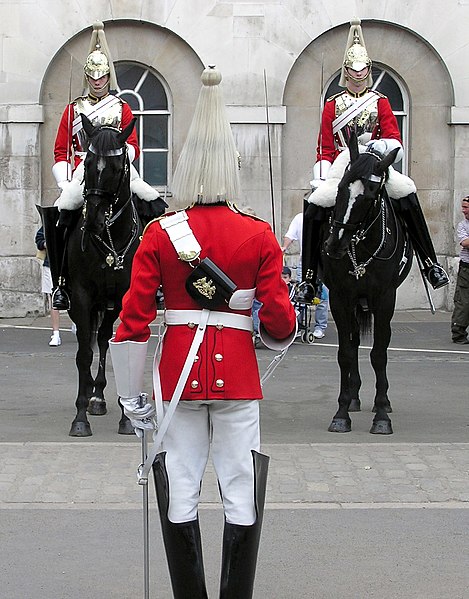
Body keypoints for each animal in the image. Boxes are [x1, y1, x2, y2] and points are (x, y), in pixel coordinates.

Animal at [320, 135, 412, 436]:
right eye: (340, 188)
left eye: (371, 194)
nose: (334, 246)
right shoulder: (339, 297)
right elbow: (346, 353)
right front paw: (341, 412)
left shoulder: (384, 298)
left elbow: (379, 354)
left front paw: (382, 414)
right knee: (353, 341)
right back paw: (353, 398)